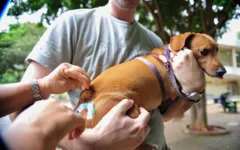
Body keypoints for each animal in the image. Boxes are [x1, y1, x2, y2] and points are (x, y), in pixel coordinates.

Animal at [74, 31, 226, 148]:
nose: (222, 72)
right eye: (204, 51)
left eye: (217, 49)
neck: (168, 58)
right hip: (129, 108)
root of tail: (87, 95)